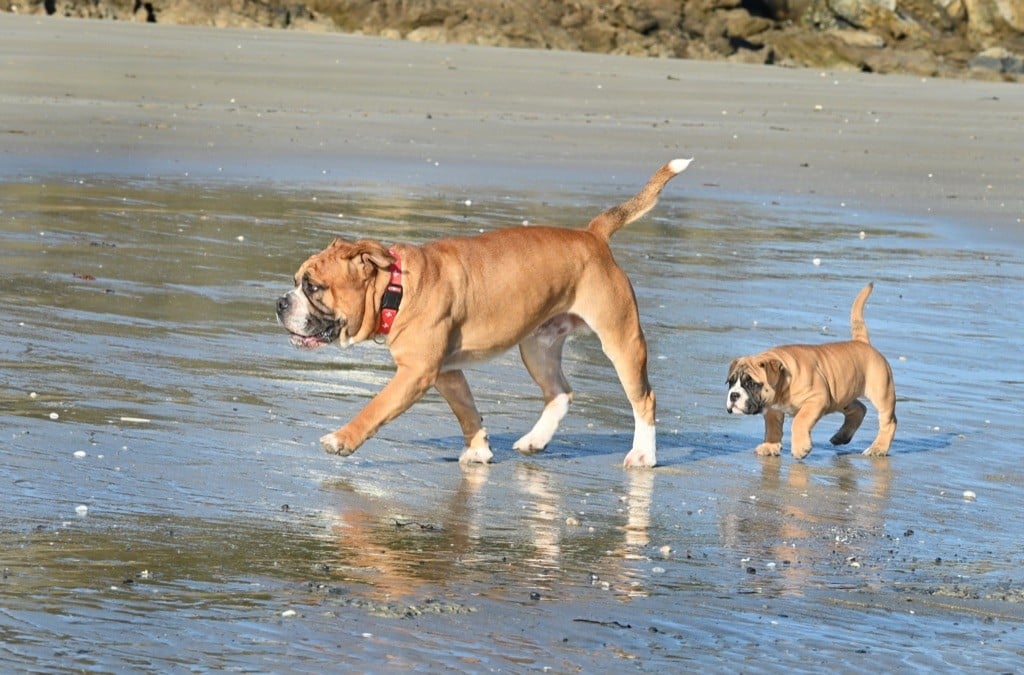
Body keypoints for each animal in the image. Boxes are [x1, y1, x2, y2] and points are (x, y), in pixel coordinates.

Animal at [277, 159, 692, 468]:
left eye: (313, 287)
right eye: (297, 282)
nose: (281, 302)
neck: (396, 288)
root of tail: (592, 235)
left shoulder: (415, 373)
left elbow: (374, 408)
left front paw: (341, 439)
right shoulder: (447, 372)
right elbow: (467, 410)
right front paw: (478, 450)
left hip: (621, 340)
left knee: (644, 399)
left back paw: (643, 455)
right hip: (537, 347)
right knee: (560, 393)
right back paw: (534, 441)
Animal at [726, 283, 897, 458]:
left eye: (752, 384)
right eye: (731, 382)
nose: (733, 395)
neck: (783, 381)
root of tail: (862, 342)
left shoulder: (817, 399)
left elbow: (799, 421)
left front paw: (801, 447)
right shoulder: (773, 409)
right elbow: (773, 428)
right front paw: (770, 446)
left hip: (881, 393)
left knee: (889, 422)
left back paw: (878, 448)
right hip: (841, 395)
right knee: (859, 409)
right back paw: (841, 436)